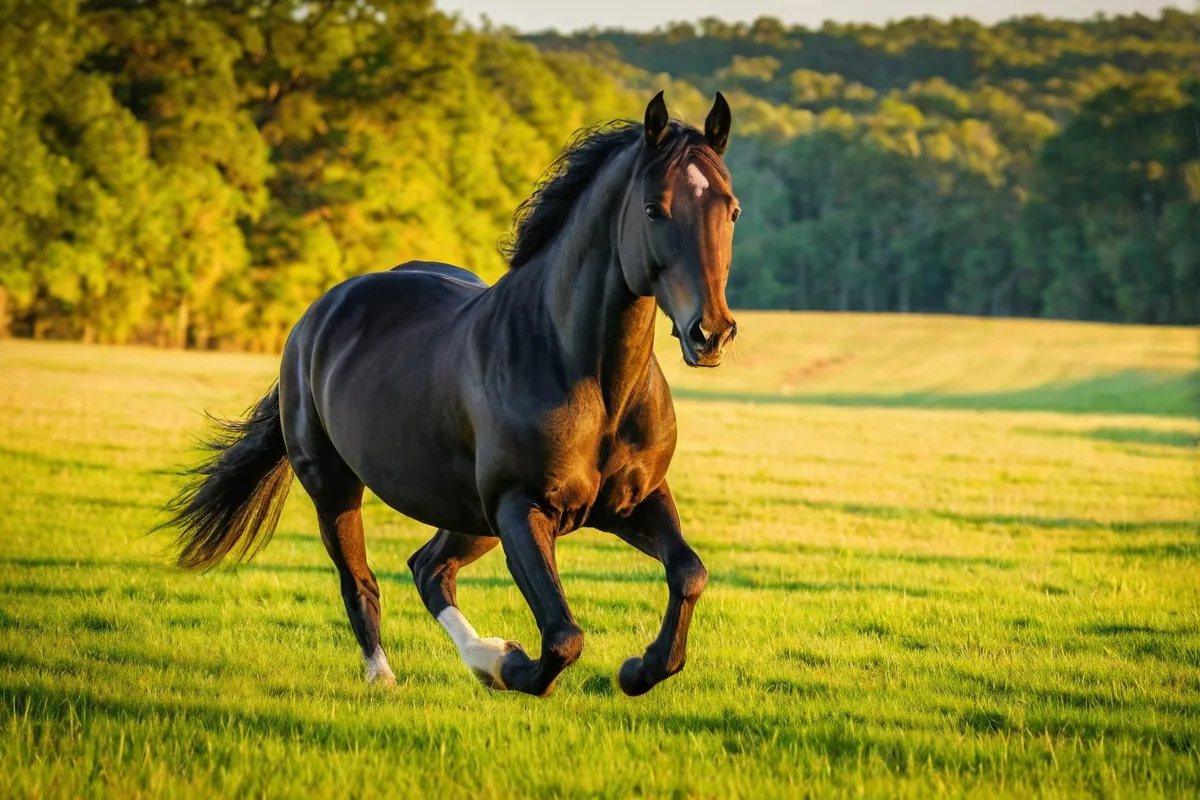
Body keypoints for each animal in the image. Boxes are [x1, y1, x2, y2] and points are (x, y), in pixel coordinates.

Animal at [160, 91, 740, 698]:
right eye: (653, 209)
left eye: (732, 209)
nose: (710, 333)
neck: (594, 383)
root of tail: (320, 314)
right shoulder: (519, 507)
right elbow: (563, 636)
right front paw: (515, 666)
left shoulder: (636, 500)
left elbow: (689, 574)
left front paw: (638, 670)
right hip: (337, 489)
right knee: (362, 582)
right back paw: (396, 675)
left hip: (470, 516)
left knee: (429, 568)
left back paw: (480, 658)